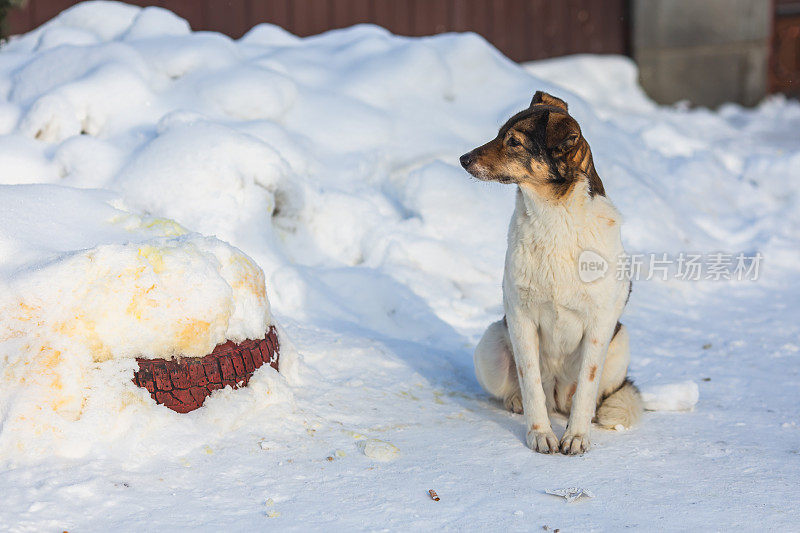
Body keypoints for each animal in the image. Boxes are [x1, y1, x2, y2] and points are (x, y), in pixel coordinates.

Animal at [460, 90, 640, 454]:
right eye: (499, 134)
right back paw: (517, 401)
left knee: (590, 398)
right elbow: (530, 385)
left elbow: (586, 389)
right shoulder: (521, 318)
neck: (553, 216)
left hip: (620, 341)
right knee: (523, 390)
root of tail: (557, 395)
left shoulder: (599, 325)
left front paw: (576, 437)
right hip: (491, 342)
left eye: (514, 142)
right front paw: (540, 434)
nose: (462, 159)